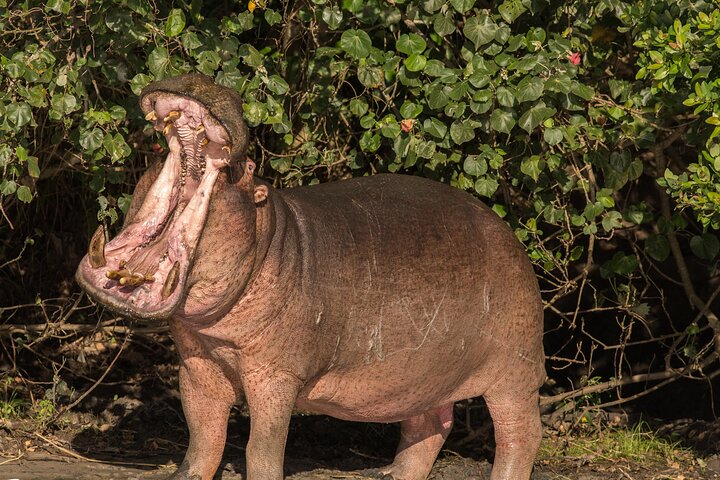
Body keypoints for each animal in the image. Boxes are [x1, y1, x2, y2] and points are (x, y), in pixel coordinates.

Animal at [75, 74, 545, 480]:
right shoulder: (196, 364)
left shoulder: (276, 376)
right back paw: (388, 475)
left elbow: (261, 449)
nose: (204, 78)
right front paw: (185, 474)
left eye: (249, 170)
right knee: (428, 426)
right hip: (425, 374)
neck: (269, 239)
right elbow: (202, 439)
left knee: (520, 434)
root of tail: (511, 236)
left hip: (515, 372)